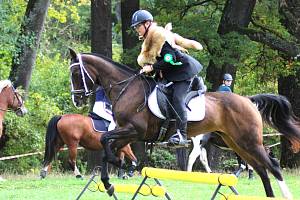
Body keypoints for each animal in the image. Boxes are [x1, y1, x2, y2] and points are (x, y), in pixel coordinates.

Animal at [68, 49, 300, 199]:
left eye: (76, 74)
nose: (76, 99)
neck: (127, 89)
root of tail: (248, 100)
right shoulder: (127, 133)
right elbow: (107, 146)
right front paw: (111, 181)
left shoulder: (134, 131)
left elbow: (106, 140)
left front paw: (123, 166)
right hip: (236, 142)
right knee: (261, 169)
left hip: (249, 141)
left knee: (272, 166)